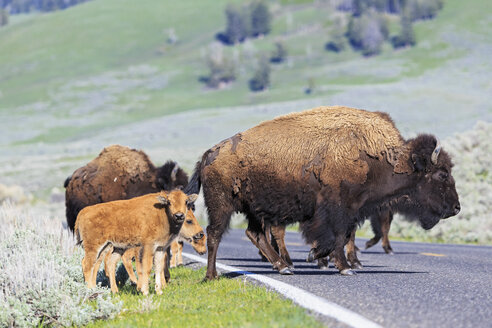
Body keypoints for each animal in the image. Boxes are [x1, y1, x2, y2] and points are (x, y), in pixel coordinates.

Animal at [184, 105, 462, 280]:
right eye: (442, 174)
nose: (456, 207)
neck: (376, 156)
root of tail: (209, 153)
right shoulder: (338, 208)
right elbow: (337, 236)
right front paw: (341, 266)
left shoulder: (352, 210)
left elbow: (342, 236)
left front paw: (326, 259)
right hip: (221, 205)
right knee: (215, 234)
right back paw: (212, 275)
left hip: (253, 209)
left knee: (254, 234)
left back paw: (283, 267)